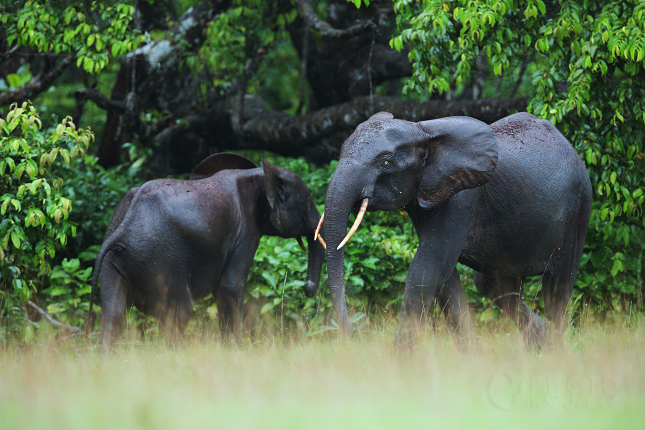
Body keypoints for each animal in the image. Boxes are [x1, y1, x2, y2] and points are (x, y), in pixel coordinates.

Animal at [88, 153, 324, 352]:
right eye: (307, 202)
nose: (308, 289)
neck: (257, 175)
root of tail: (125, 224)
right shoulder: (244, 235)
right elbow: (230, 287)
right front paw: (238, 352)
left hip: (117, 257)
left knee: (114, 312)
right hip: (161, 259)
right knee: (179, 311)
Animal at [316, 111, 588, 350]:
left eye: (385, 162)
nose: (354, 332)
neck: (423, 132)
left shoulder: (460, 199)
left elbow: (427, 269)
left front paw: (400, 366)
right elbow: (445, 279)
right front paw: (471, 360)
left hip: (577, 211)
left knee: (558, 285)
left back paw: (553, 350)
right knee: (493, 285)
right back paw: (539, 343)